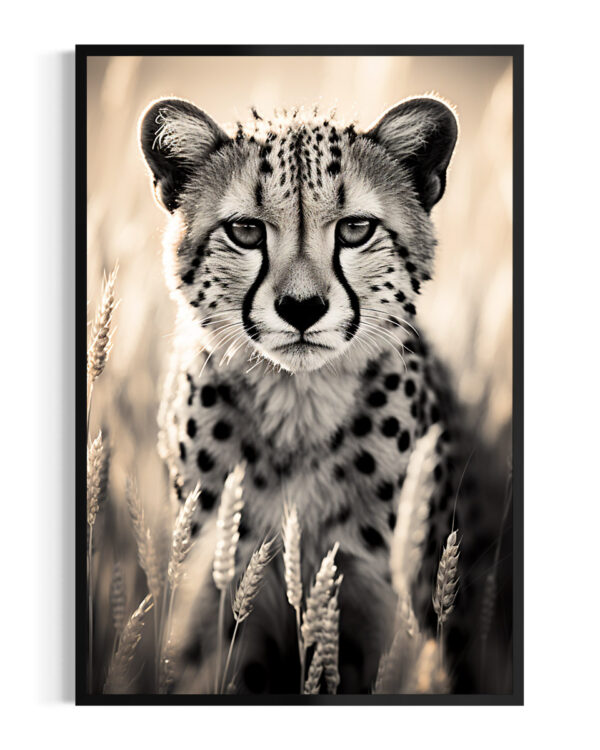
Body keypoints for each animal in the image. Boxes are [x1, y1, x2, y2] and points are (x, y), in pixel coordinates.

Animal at [139, 95, 472, 695]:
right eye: (246, 231)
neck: (299, 408)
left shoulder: (386, 616)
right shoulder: (210, 605)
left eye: (356, 229)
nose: (301, 307)